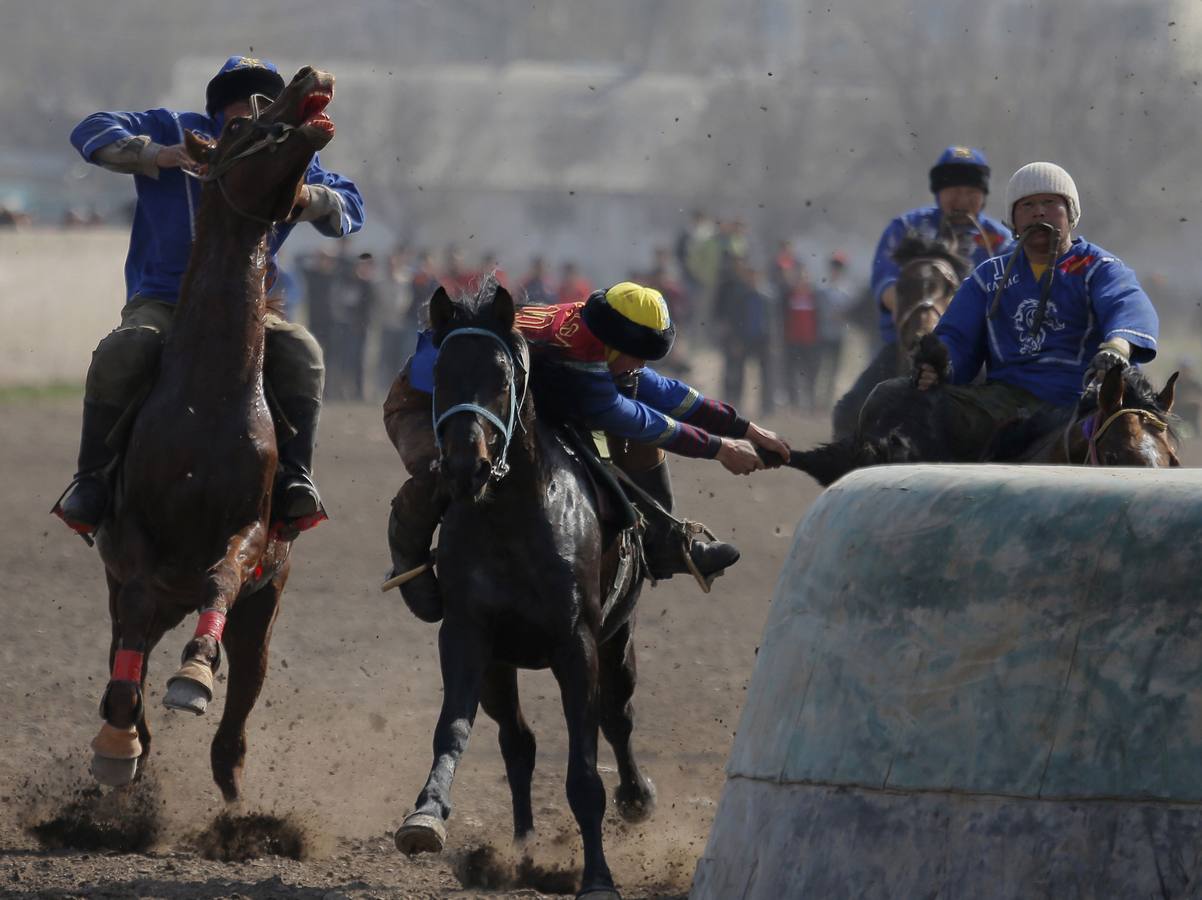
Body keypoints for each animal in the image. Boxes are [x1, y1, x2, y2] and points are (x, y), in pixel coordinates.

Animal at [393, 280, 655, 900]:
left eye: (502, 376)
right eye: (441, 374)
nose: (465, 466)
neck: (513, 517)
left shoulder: (576, 643)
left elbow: (584, 770)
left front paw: (598, 877)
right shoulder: (469, 635)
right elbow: (453, 729)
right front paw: (426, 815)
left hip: (618, 639)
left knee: (618, 716)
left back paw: (636, 797)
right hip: (502, 665)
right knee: (520, 741)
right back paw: (523, 848)